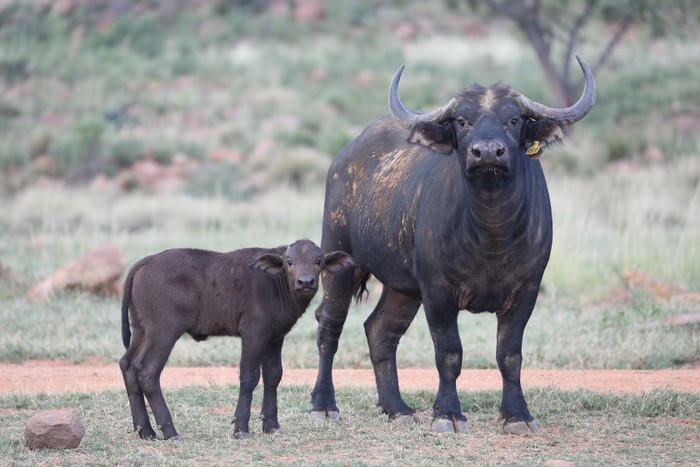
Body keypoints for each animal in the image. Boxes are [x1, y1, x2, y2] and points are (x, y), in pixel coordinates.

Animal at [119, 239, 356, 440]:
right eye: (289, 261)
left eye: (319, 260)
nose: (305, 282)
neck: (274, 282)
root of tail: (146, 262)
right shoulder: (253, 334)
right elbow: (249, 376)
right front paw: (241, 428)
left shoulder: (275, 337)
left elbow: (273, 376)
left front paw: (272, 426)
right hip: (163, 331)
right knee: (147, 371)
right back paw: (170, 431)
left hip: (141, 330)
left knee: (128, 364)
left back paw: (145, 430)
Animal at [310, 56, 596, 435]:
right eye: (462, 120)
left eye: (514, 119)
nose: (486, 152)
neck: (492, 235)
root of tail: (343, 159)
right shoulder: (438, 291)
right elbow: (449, 353)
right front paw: (447, 413)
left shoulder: (527, 289)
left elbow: (510, 355)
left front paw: (517, 415)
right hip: (339, 261)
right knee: (329, 325)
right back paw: (324, 405)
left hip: (403, 287)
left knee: (380, 332)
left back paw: (397, 407)